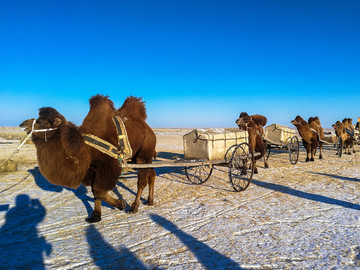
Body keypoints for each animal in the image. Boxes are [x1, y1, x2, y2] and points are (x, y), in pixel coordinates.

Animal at [20, 94, 156, 223]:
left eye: (41, 122)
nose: (23, 124)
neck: (85, 147)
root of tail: (150, 131)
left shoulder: (107, 166)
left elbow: (100, 191)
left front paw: (121, 204)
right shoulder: (92, 168)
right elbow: (96, 193)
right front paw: (96, 216)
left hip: (144, 154)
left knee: (141, 181)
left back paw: (134, 207)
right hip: (138, 157)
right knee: (152, 174)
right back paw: (150, 201)